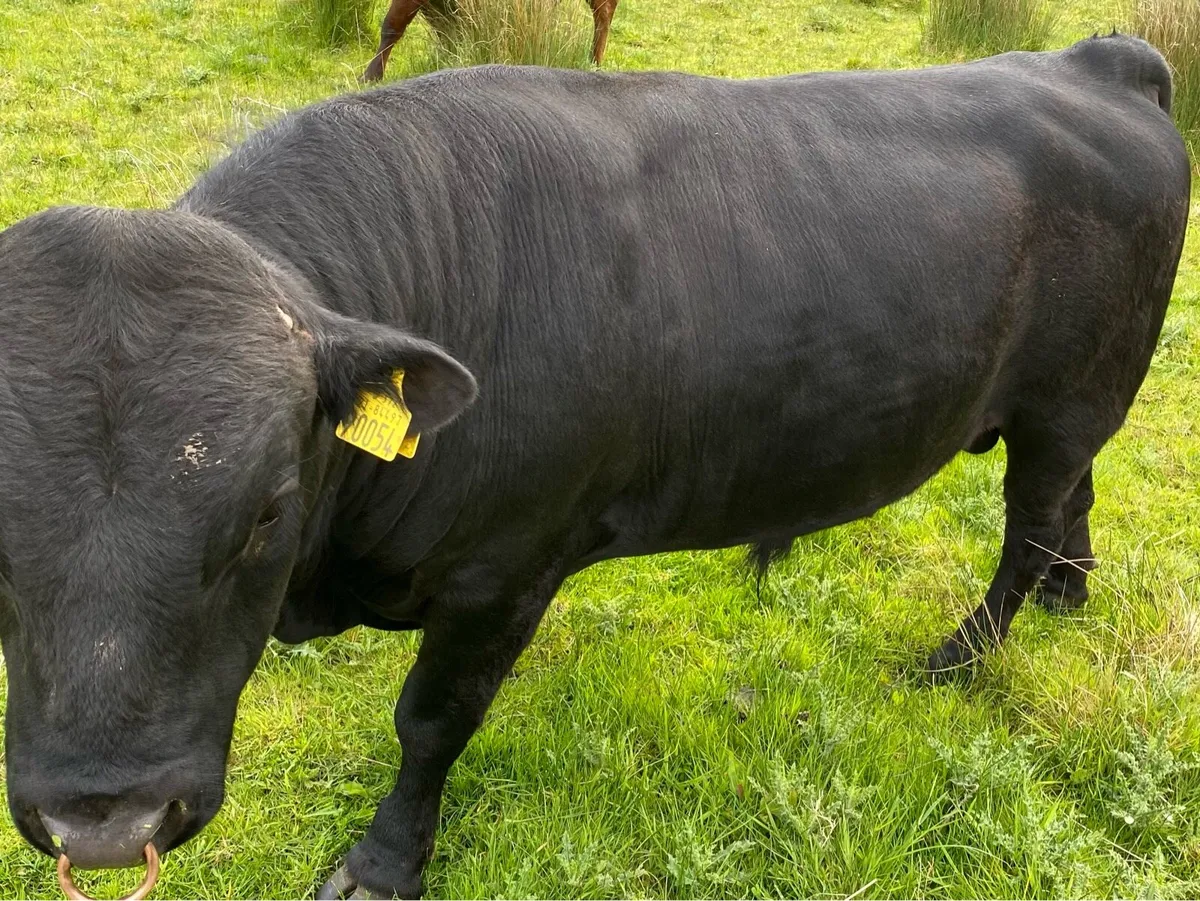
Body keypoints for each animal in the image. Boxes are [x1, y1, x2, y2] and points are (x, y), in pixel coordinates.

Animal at [0, 34, 1190, 900]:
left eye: (266, 510)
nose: (103, 822)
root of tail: (1093, 57)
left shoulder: (505, 571)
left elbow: (429, 722)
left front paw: (383, 865)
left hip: (1067, 399)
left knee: (1027, 524)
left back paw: (960, 657)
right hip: (1072, 406)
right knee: (1073, 497)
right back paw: (1072, 594)